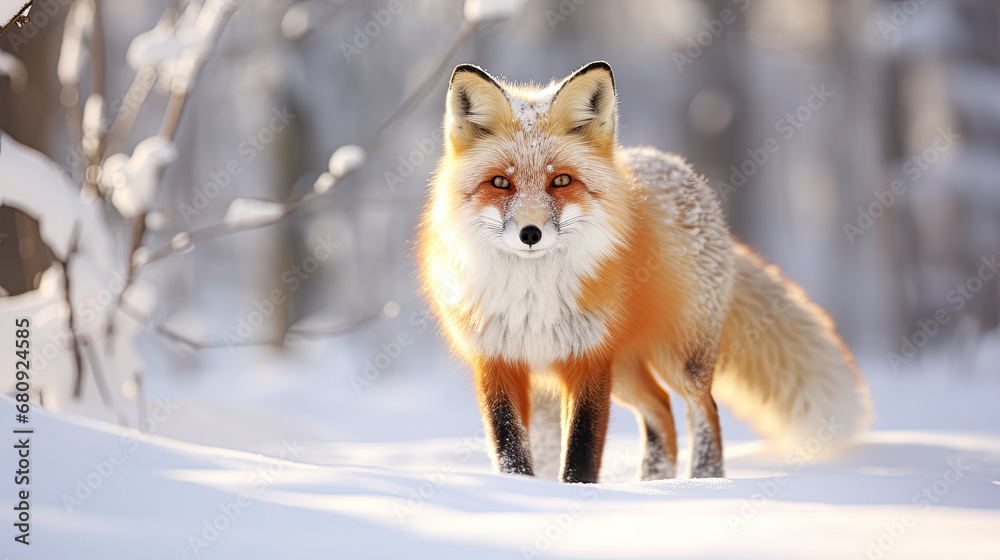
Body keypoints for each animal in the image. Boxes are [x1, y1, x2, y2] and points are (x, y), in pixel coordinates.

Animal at [417, 61, 873, 483]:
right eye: (500, 183)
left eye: (561, 181)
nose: (531, 233)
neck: (533, 294)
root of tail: (674, 164)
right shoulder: (498, 362)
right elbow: (511, 450)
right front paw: (531, 492)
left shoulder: (589, 360)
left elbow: (581, 451)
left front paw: (577, 495)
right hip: (624, 372)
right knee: (661, 411)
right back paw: (654, 484)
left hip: (679, 359)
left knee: (701, 408)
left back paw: (702, 483)